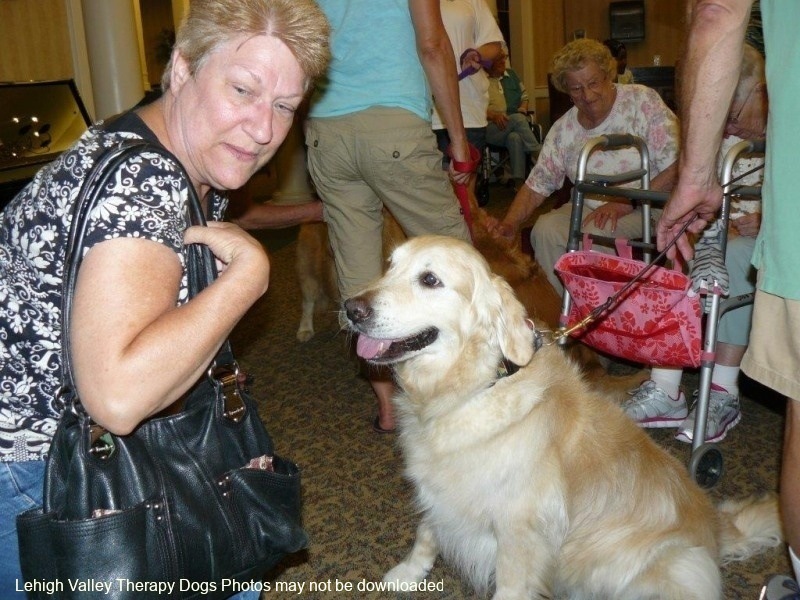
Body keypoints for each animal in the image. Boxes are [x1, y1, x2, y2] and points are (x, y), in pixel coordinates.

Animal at [343, 235, 781, 600]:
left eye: (430, 279)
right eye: (389, 266)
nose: (351, 308)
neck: (477, 386)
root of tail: (718, 533)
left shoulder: (519, 531)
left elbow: (508, 585)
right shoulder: (444, 489)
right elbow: (427, 531)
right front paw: (408, 572)